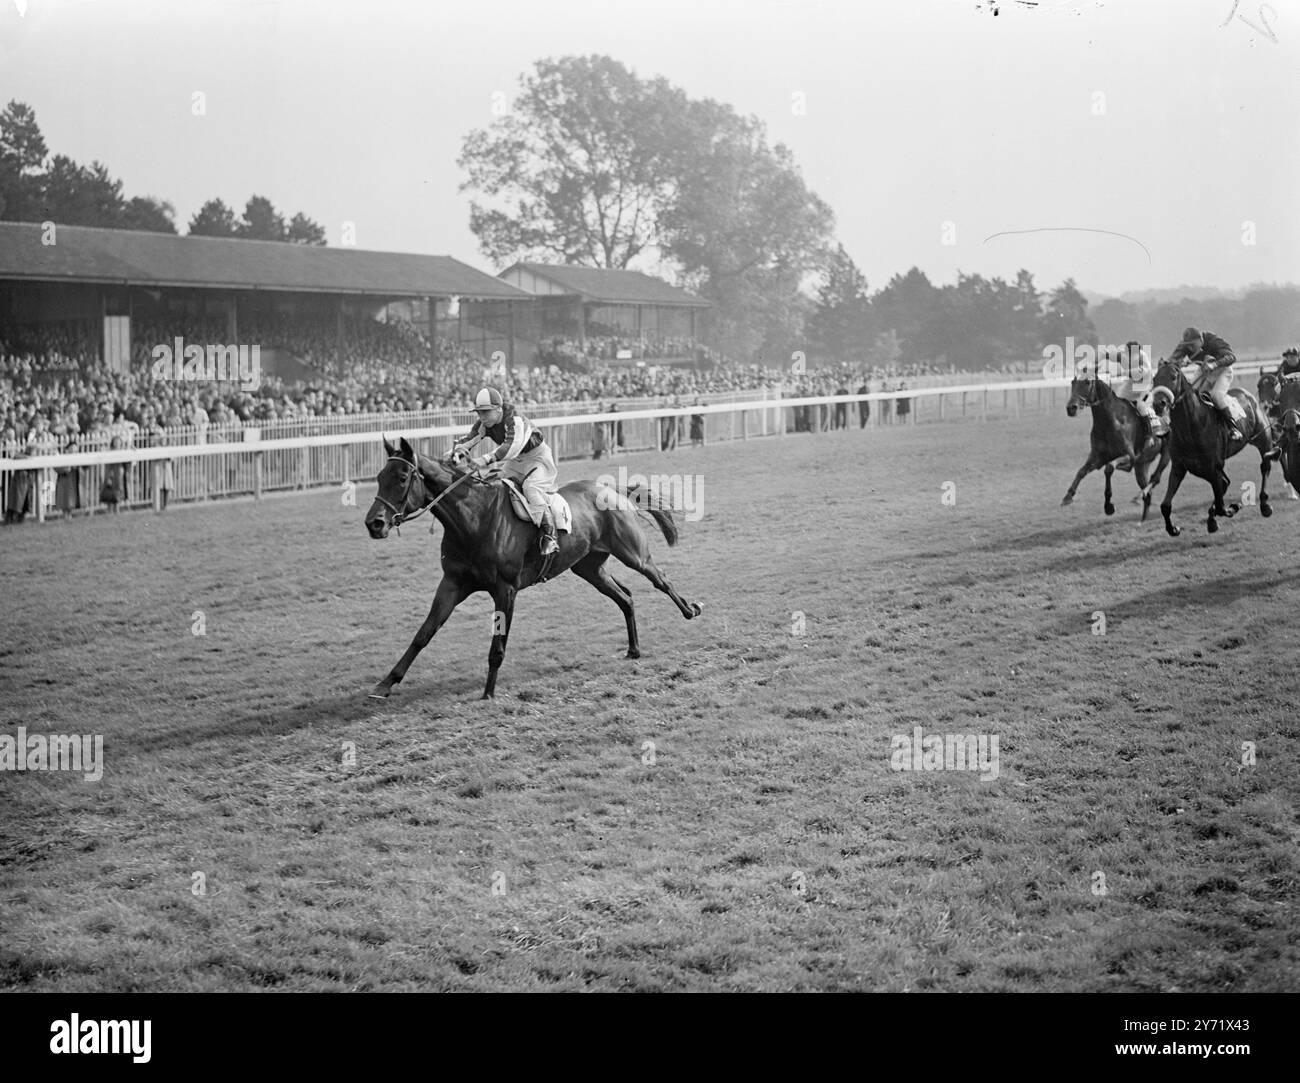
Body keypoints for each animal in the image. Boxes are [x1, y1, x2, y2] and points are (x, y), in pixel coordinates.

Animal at [361, 436, 707, 702]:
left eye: (402, 479)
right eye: (379, 477)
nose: (374, 524)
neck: (474, 519)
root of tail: (612, 490)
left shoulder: (506, 589)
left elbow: (497, 646)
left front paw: (488, 692)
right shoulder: (453, 583)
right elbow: (424, 633)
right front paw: (386, 683)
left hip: (633, 553)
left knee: (660, 579)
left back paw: (691, 609)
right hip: (589, 568)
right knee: (625, 597)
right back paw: (634, 649)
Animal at [1066, 371, 1170, 520]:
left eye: (1087, 382)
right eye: (1072, 382)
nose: (1071, 408)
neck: (1109, 421)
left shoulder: (1129, 456)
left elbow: (1109, 468)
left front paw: (1108, 506)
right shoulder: (1097, 457)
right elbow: (1081, 471)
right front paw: (1068, 495)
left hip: (1166, 455)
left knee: (1156, 478)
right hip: (1142, 465)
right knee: (1148, 494)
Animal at [1149, 361, 1279, 535]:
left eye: (1173, 377)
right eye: (1155, 378)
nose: (1158, 404)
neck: (1191, 427)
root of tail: (1248, 395)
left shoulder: (1213, 466)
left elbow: (1221, 506)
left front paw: (1234, 507)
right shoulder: (1180, 467)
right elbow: (1165, 505)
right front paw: (1173, 528)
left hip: (1262, 439)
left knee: (1265, 466)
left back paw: (1265, 505)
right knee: (1225, 483)